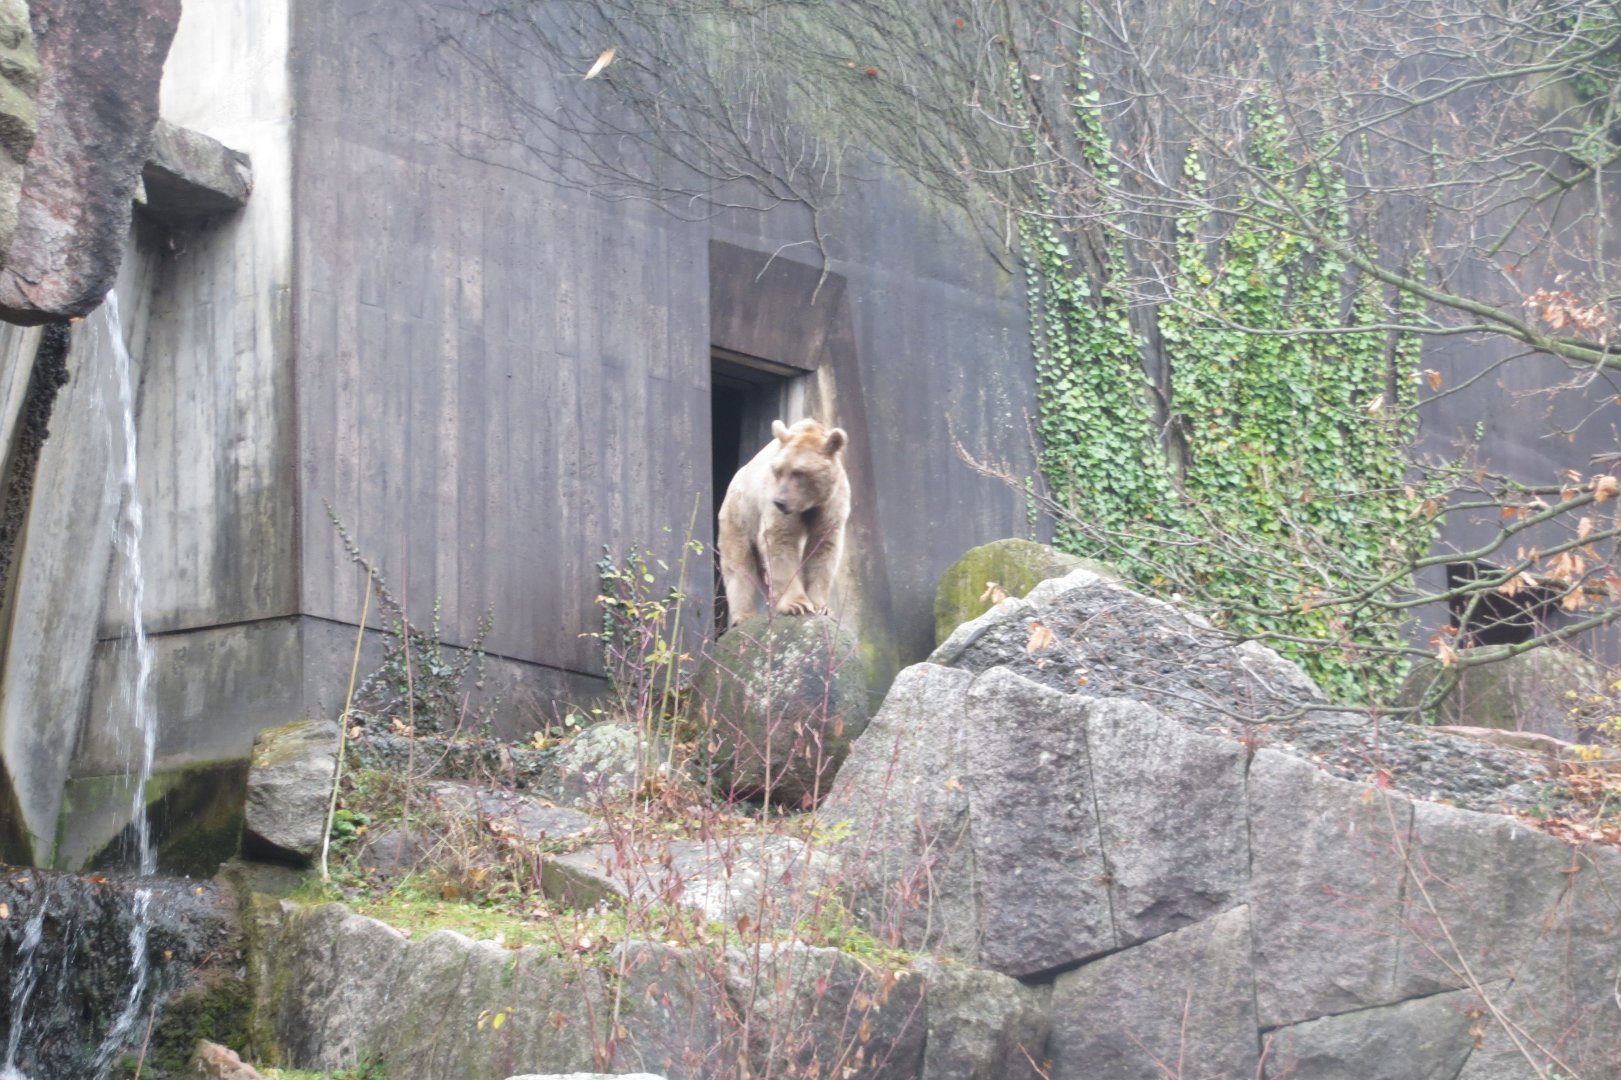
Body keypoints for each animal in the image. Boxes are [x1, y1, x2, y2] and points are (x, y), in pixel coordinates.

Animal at [717, 418, 850, 625]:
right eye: (778, 471)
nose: (779, 501)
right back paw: (743, 615)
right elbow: (780, 539)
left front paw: (822, 606)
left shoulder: (832, 505)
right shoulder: (774, 503)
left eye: (799, 472)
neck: (809, 504)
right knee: (738, 565)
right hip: (739, 515)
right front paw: (797, 604)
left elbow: (824, 547)